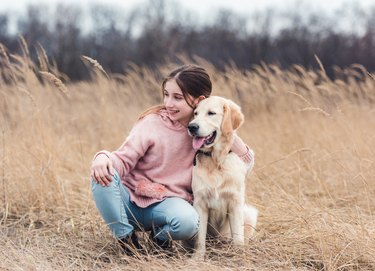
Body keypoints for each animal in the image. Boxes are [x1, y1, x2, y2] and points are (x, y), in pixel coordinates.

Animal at [188, 96, 258, 260]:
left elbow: (238, 237)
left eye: (211, 113)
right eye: (195, 113)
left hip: (249, 213)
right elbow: (200, 238)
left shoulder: (235, 202)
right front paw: (197, 259)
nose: (191, 127)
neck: (216, 161)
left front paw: (240, 257)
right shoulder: (200, 202)